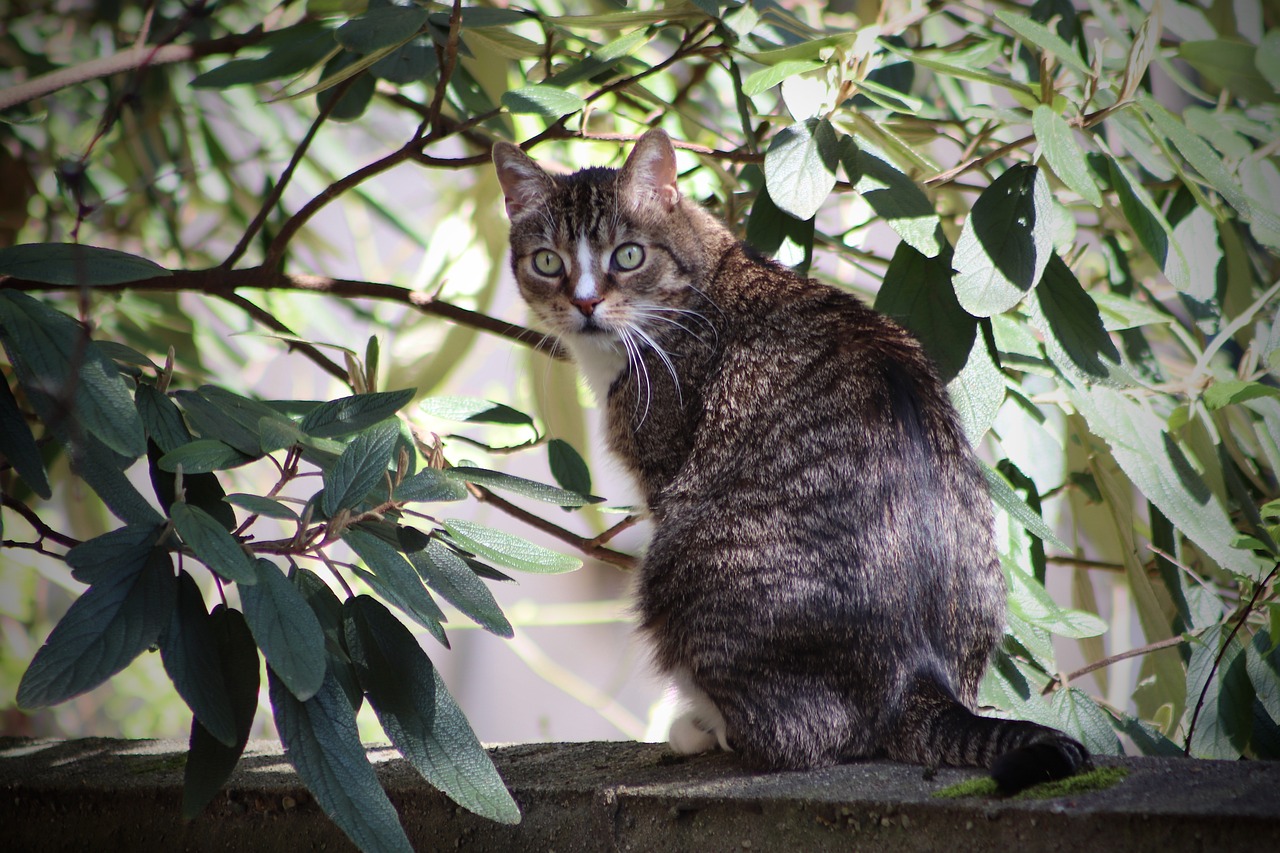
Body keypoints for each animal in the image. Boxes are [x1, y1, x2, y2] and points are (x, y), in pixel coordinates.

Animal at [488, 128, 1090, 788]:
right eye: (548, 262)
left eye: (627, 256)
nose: (586, 303)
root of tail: (920, 683)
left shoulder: (663, 464)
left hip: (679, 562)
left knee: (801, 740)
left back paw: (705, 729)